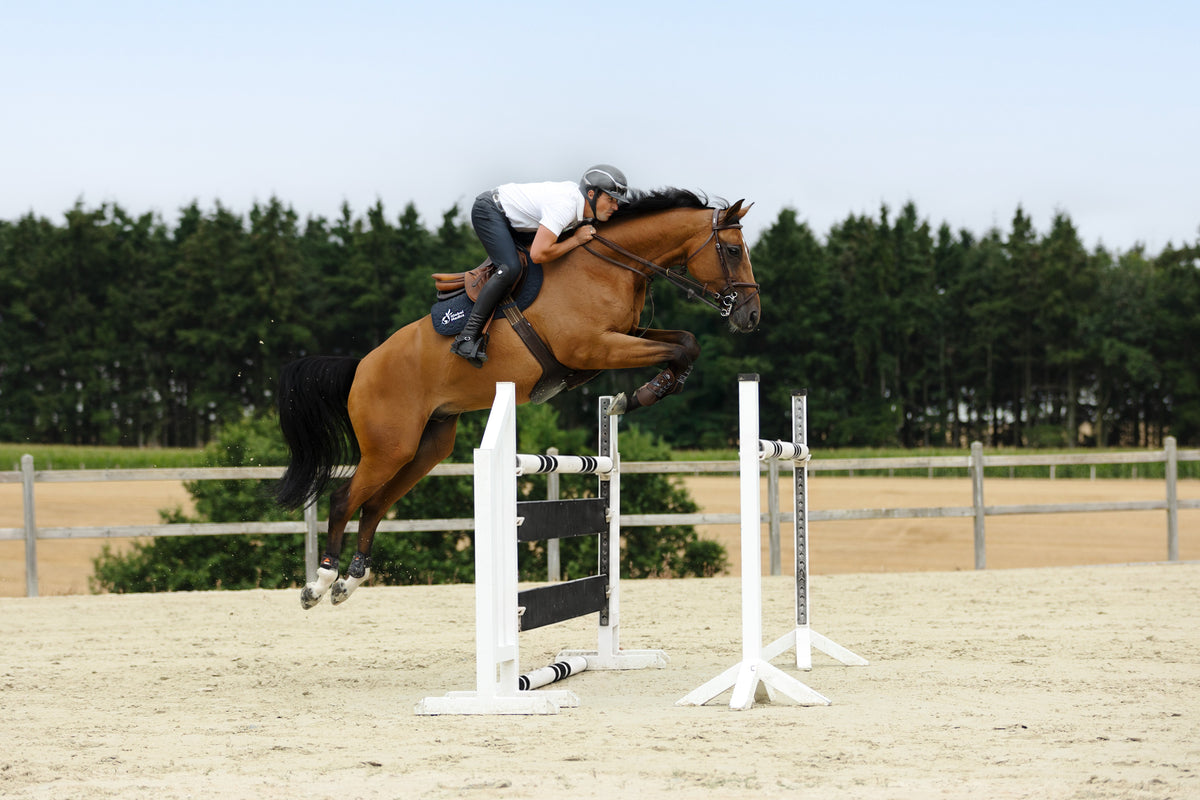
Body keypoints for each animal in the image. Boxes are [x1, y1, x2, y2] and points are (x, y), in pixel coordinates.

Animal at [274, 188, 760, 608]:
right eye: (734, 250)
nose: (751, 316)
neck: (610, 265)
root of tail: (361, 368)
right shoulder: (595, 347)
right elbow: (679, 348)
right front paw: (640, 395)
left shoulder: (623, 335)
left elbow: (685, 342)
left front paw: (646, 392)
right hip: (388, 447)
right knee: (344, 500)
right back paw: (320, 582)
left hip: (425, 446)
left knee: (374, 504)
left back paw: (351, 580)